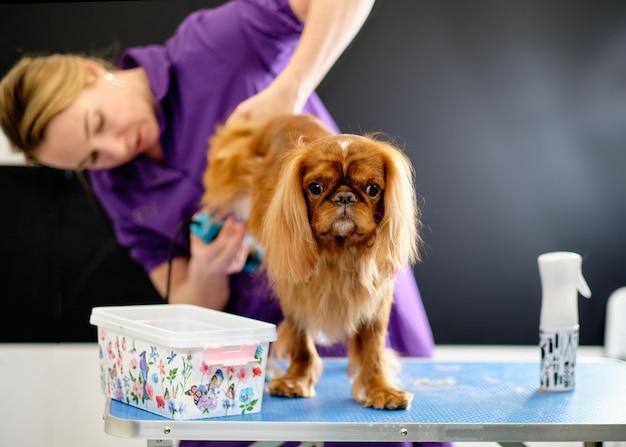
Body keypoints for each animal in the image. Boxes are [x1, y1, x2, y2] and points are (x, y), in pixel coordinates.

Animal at [202, 114, 422, 410]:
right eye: (316, 188)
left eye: (373, 188)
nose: (344, 196)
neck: (340, 250)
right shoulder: (296, 294)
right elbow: (301, 341)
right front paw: (296, 380)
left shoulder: (375, 301)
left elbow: (373, 348)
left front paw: (381, 389)